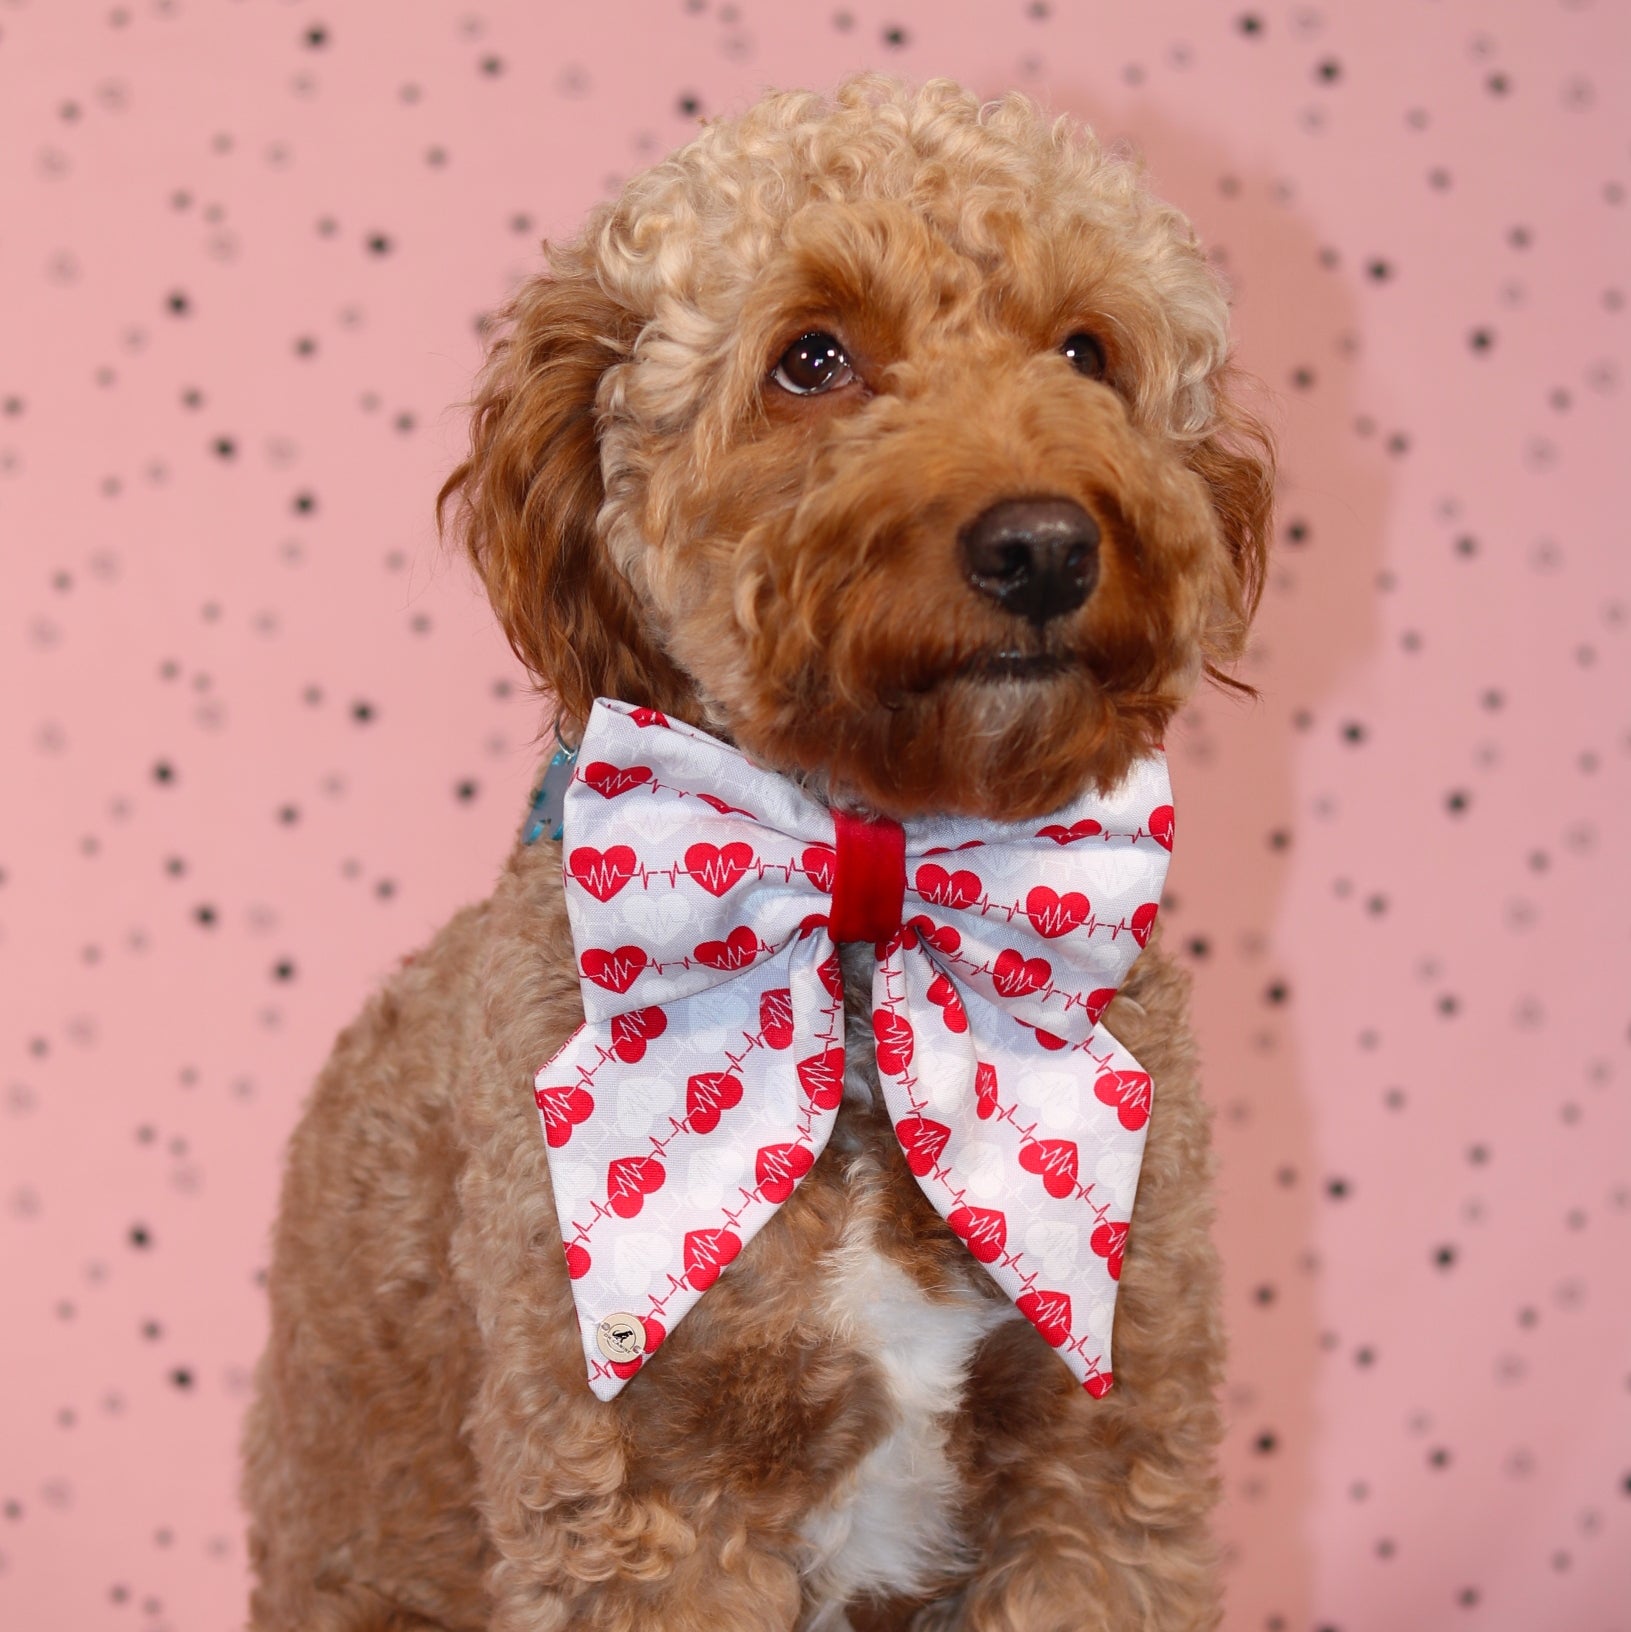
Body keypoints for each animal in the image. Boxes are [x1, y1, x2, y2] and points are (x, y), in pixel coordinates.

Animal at [241, 73, 1266, 1632]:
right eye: (811, 357)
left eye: (1086, 352)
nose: (1042, 546)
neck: (865, 904)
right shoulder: (642, 1501)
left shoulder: (1098, 1469)